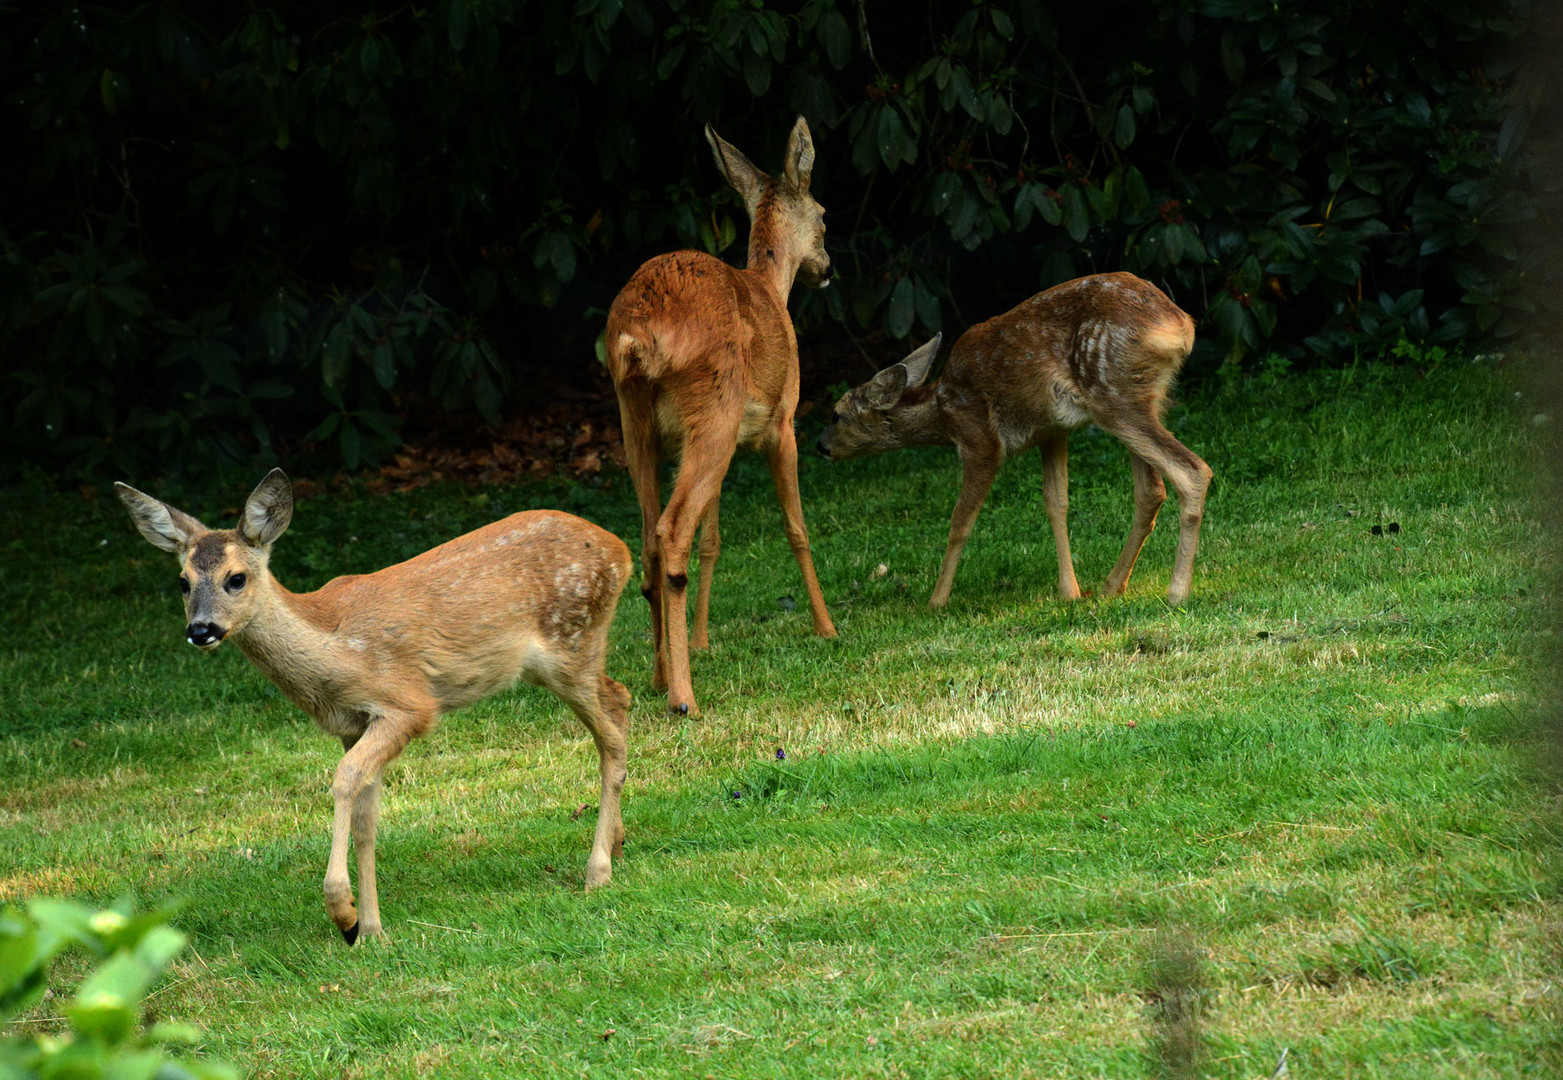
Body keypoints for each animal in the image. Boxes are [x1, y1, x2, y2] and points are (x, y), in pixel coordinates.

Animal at [114, 468, 634, 944]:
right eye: (183, 582)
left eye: (236, 578)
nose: (201, 630)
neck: (335, 653)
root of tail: (622, 551)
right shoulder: (353, 724)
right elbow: (367, 821)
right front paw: (371, 931)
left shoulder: (407, 705)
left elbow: (344, 779)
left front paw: (343, 913)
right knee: (620, 698)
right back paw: (618, 841)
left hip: (571, 643)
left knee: (609, 733)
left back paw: (597, 870)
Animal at [603, 116, 837, 718]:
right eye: (825, 213)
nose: (828, 270)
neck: (770, 289)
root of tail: (637, 338)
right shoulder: (784, 422)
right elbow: (796, 526)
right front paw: (826, 627)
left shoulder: (718, 442)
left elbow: (714, 538)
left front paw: (703, 640)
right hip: (714, 402)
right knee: (671, 530)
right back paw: (683, 698)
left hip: (638, 423)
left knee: (649, 537)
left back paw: (659, 678)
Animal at [812, 270, 1212, 609]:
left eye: (836, 414)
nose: (820, 446)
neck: (941, 408)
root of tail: (1180, 325)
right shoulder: (1051, 432)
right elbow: (1056, 503)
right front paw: (1069, 591)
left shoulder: (979, 438)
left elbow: (961, 520)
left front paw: (936, 601)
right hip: (1148, 398)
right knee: (1151, 490)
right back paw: (1113, 586)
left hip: (1112, 394)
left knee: (1192, 471)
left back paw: (1176, 592)